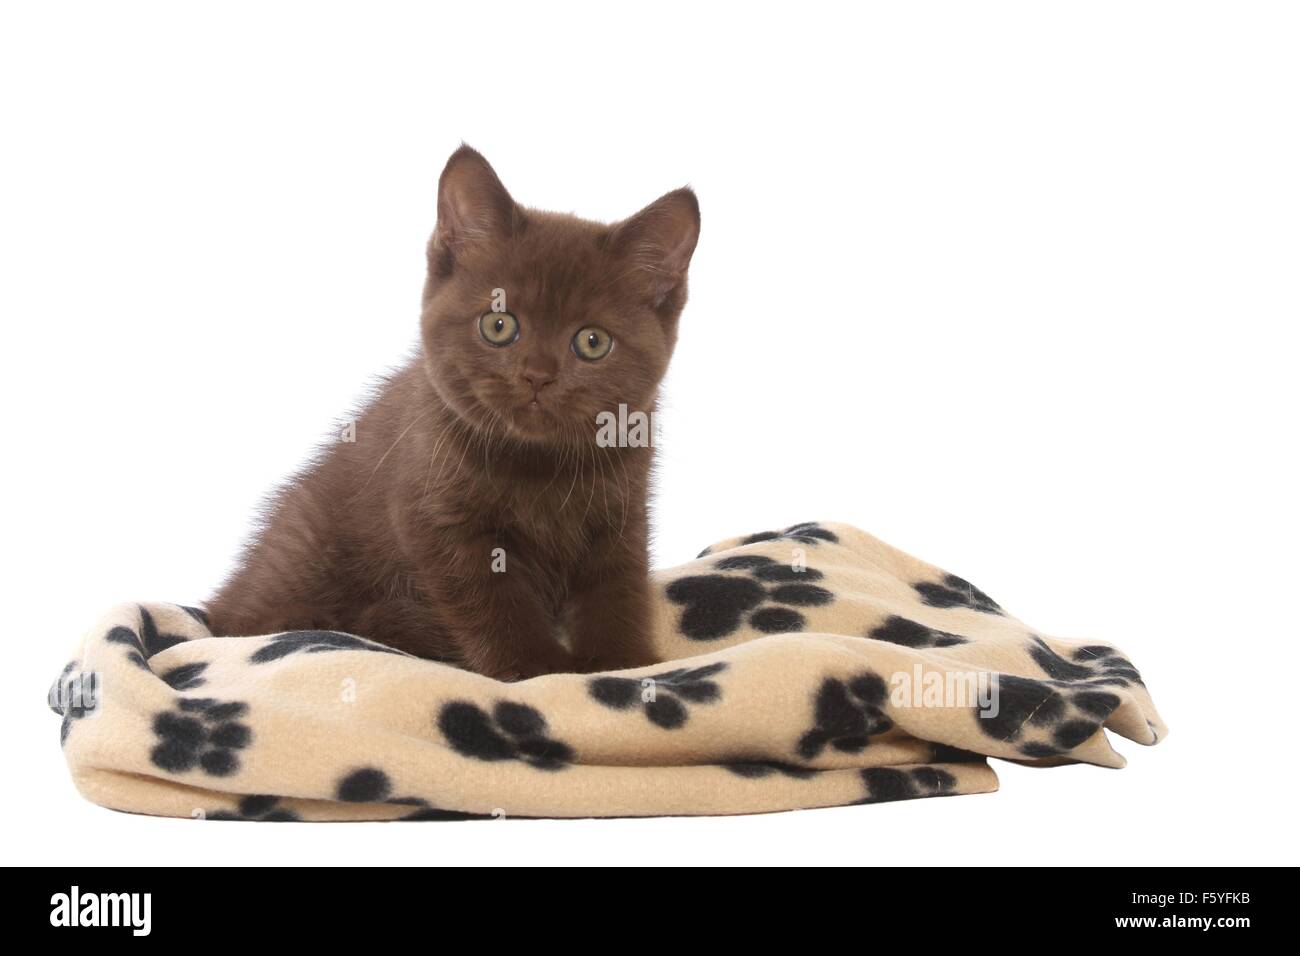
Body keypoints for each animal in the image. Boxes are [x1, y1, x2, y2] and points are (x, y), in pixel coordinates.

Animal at [206, 145, 702, 681]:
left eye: (593, 342)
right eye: (498, 324)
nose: (537, 376)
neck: (538, 464)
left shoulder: (622, 514)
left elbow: (618, 589)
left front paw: (625, 664)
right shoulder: (439, 518)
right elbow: (493, 601)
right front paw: (538, 668)